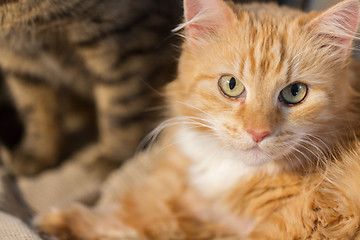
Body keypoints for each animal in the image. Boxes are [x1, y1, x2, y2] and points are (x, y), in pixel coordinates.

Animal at [35, 0, 360, 239]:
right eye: (231, 85)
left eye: (295, 93)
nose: (258, 133)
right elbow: (139, 216)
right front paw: (60, 220)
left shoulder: (299, 222)